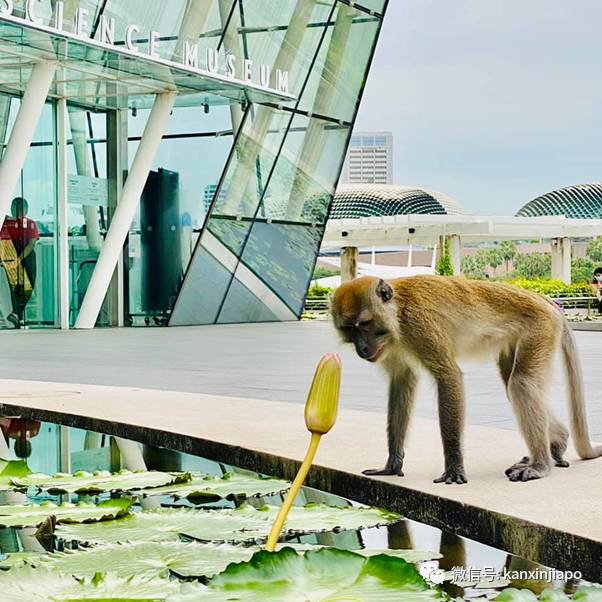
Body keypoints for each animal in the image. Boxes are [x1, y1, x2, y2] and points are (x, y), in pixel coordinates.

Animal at [330, 274, 596, 482]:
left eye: (364, 324)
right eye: (349, 329)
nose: (362, 348)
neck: (398, 311)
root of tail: (542, 299)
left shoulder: (421, 323)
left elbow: (449, 376)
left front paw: (454, 467)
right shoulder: (390, 346)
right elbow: (402, 381)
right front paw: (392, 464)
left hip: (540, 326)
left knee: (521, 384)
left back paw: (540, 464)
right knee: (513, 382)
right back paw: (558, 441)